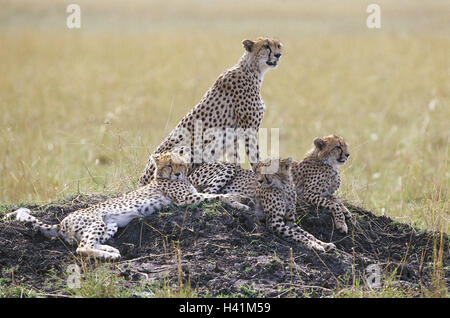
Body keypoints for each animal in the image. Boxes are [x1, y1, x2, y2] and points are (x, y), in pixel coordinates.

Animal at [139, 36, 284, 186]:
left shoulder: (233, 135)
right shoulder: (248, 128)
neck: (252, 70)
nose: (278, 55)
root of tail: (141, 180)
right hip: (186, 147)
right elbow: (254, 156)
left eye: (278, 46)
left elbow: (235, 158)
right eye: (266, 46)